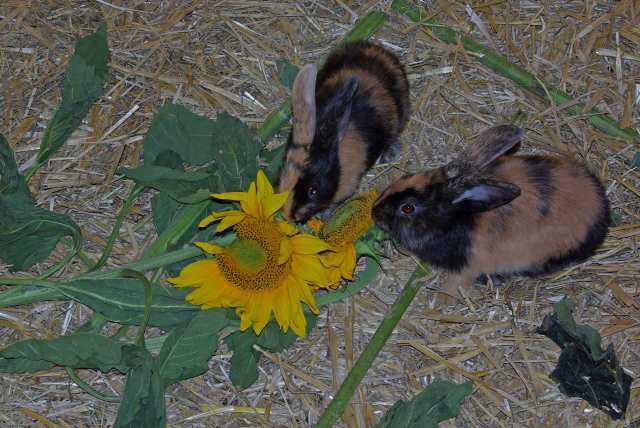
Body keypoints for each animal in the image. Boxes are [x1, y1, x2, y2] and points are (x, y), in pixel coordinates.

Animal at [372, 125, 610, 302]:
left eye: (408, 208)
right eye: (407, 177)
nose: (375, 212)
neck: (454, 216)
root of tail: (601, 215)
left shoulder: (468, 267)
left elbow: (457, 284)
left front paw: (442, 300)